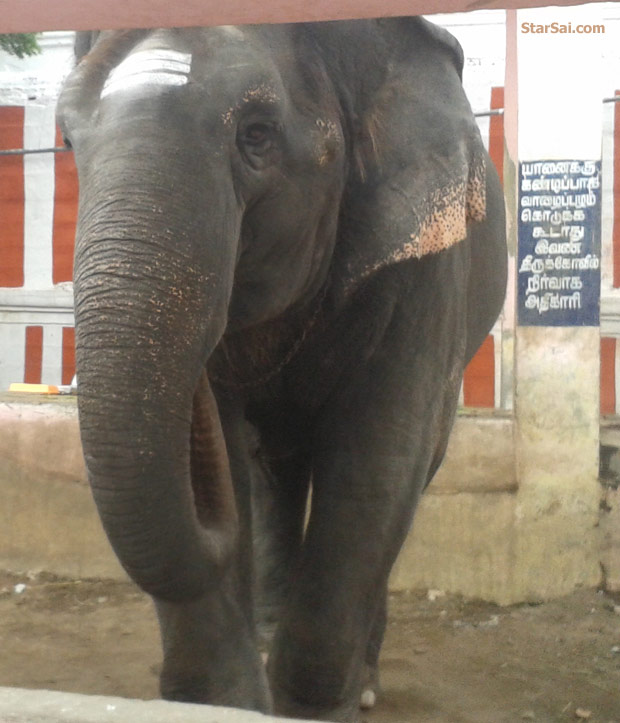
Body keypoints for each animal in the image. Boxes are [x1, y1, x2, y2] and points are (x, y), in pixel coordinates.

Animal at [57, 17, 506, 723]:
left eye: (257, 134)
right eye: (69, 140)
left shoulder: (425, 266)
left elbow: (377, 462)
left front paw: (310, 708)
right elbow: (225, 462)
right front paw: (224, 705)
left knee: (407, 476)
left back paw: (365, 679)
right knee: (272, 473)